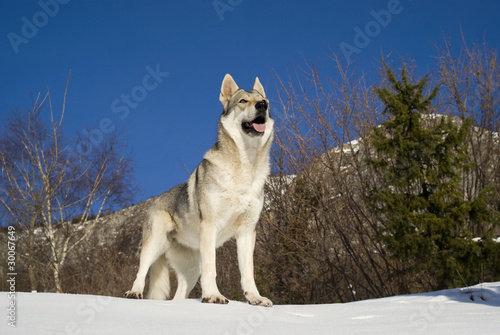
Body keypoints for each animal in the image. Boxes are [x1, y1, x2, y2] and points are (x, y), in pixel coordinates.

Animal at [124, 74, 274, 308]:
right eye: (243, 101)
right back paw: (134, 293)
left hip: (191, 270)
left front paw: (255, 298)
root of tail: (154, 199)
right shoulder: (210, 226)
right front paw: (213, 296)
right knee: (140, 273)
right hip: (154, 245)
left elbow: (248, 272)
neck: (245, 167)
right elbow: (212, 269)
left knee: (178, 295)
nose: (262, 106)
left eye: (263, 100)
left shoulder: (247, 232)